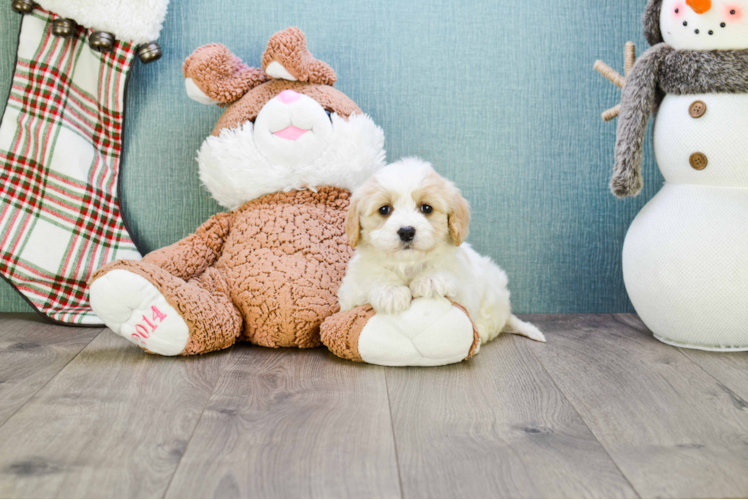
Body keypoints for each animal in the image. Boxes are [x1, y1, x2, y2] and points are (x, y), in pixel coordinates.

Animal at [338, 158, 544, 346]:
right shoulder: (350, 293)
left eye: (426, 208)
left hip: (493, 289)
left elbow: (445, 271)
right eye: (384, 209)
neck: (407, 264)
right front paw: (391, 291)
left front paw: (430, 279)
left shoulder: (464, 286)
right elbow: (372, 276)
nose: (406, 231)